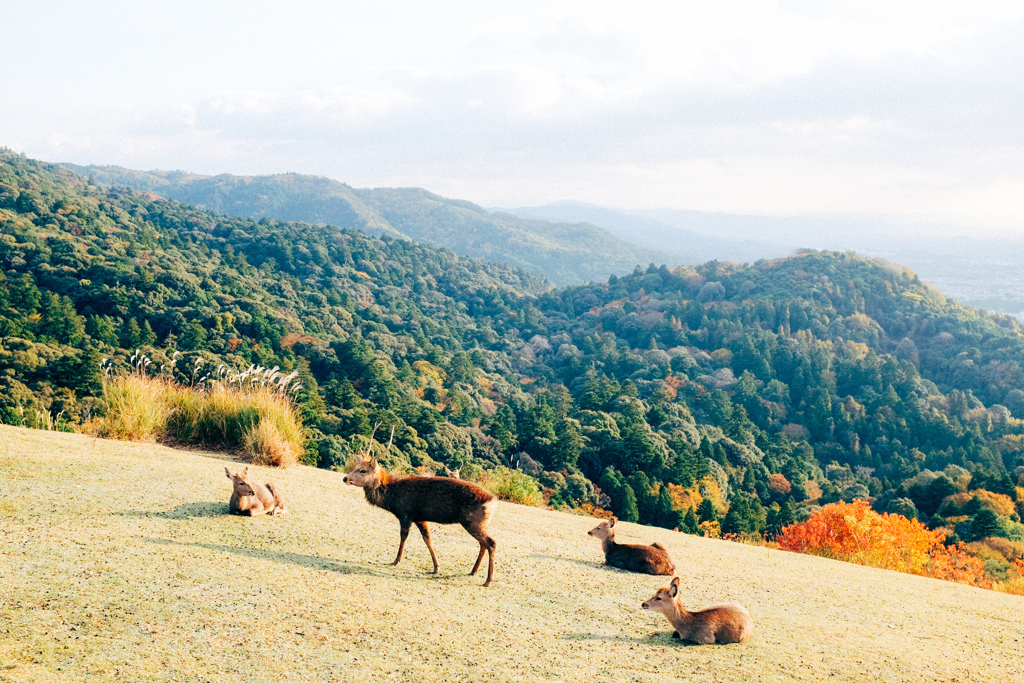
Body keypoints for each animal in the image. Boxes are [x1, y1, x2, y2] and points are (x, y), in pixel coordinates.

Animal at [342, 423, 497, 585]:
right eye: (355, 467)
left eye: (363, 470)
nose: (345, 478)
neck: (392, 496)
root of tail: (493, 501)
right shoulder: (420, 518)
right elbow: (428, 539)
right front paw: (436, 567)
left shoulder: (406, 513)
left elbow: (403, 536)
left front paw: (396, 560)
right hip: (478, 523)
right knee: (483, 544)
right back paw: (473, 571)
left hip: (472, 521)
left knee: (491, 543)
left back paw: (488, 580)